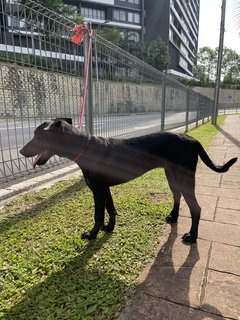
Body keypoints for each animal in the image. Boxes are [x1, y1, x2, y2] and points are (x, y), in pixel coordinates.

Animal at [19, 119, 237, 244]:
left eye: (38, 136)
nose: (21, 151)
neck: (85, 147)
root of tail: (193, 140)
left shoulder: (97, 190)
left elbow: (98, 214)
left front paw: (92, 234)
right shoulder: (104, 188)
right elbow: (111, 209)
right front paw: (110, 228)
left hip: (185, 177)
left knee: (196, 208)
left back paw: (192, 236)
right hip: (172, 176)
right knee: (177, 197)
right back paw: (173, 217)